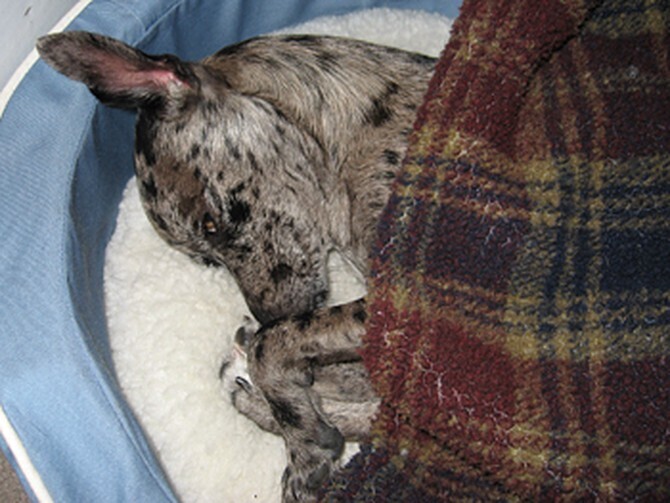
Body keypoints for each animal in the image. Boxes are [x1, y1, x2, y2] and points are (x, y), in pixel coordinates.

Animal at [37, 31, 434, 501]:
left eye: (210, 223)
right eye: (206, 260)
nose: (265, 315)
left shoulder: (409, 299)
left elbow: (274, 344)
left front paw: (302, 444)